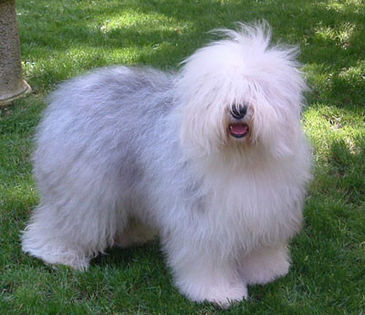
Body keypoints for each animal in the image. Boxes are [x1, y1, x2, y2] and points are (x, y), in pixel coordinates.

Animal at [21, 22, 310, 308]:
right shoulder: (202, 222)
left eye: (258, 88)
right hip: (84, 191)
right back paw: (56, 254)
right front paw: (218, 292)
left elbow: (263, 248)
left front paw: (267, 272)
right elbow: (208, 261)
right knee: (66, 223)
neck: (240, 158)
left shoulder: (265, 211)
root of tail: (70, 89)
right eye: (219, 90)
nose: (238, 109)